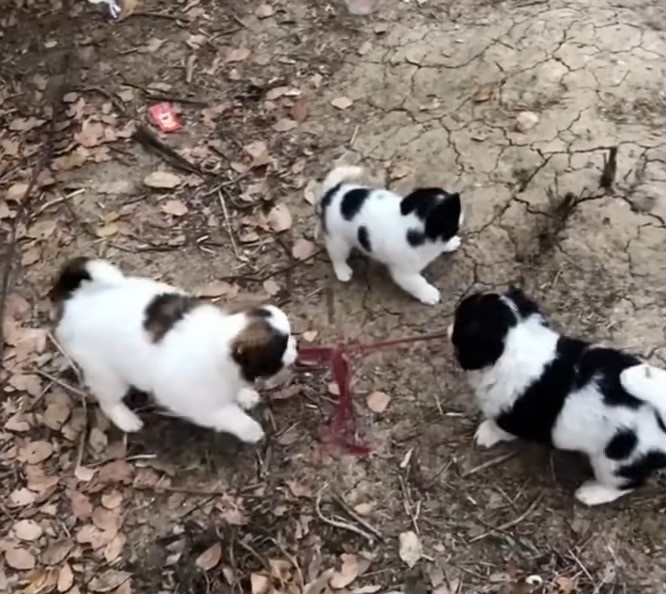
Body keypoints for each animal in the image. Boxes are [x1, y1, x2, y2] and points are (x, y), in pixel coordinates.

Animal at [48, 256, 294, 442]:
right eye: (282, 348)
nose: (295, 344)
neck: (219, 337)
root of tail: (78, 300)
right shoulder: (199, 405)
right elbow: (228, 414)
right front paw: (250, 429)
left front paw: (244, 395)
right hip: (106, 375)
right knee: (108, 399)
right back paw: (125, 418)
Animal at [446, 286, 664, 504]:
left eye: (460, 320)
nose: (448, 327)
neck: (520, 342)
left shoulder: (513, 417)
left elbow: (499, 427)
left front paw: (486, 432)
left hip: (614, 463)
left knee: (626, 484)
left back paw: (592, 493)